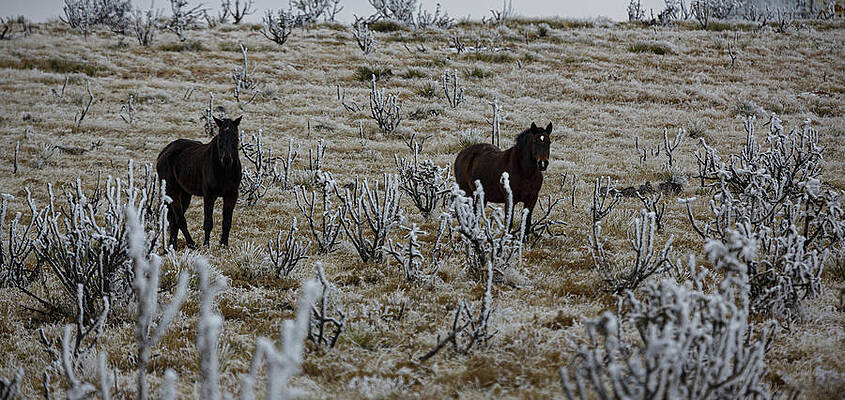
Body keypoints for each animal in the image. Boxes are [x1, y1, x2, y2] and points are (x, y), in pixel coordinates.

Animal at [155, 116, 243, 249]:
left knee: (174, 220)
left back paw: (172, 247)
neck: (224, 170)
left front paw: (224, 245)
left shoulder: (231, 195)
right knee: (179, 220)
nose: (227, 159)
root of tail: (164, 152)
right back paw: (191, 244)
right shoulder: (209, 196)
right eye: (220, 136)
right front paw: (206, 245)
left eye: (235, 136)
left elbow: (227, 222)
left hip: (185, 194)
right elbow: (208, 223)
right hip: (172, 191)